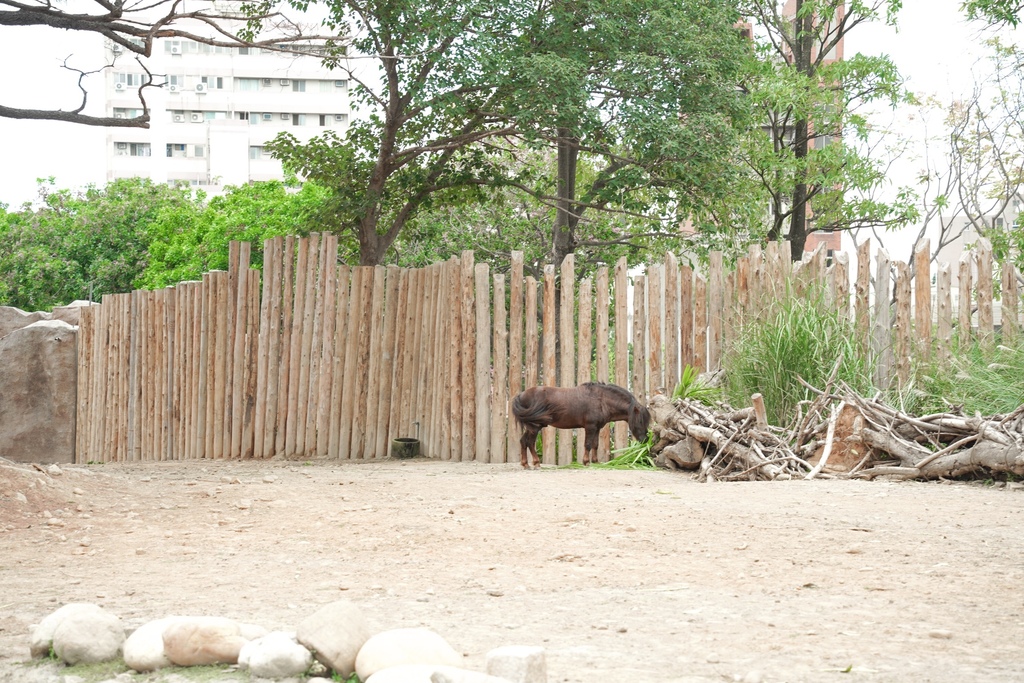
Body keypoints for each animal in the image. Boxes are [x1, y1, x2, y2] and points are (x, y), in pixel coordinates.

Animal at [509, 378, 647, 471]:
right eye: (640, 421)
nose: (645, 439)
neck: (601, 400)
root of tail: (521, 395)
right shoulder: (590, 427)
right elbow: (588, 444)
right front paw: (586, 462)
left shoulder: (597, 428)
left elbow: (595, 445)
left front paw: (595, 462)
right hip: (535, 427)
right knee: (530, 443)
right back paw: (536, 463)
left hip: (531, 427)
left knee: (523, 441)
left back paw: (525, 464)